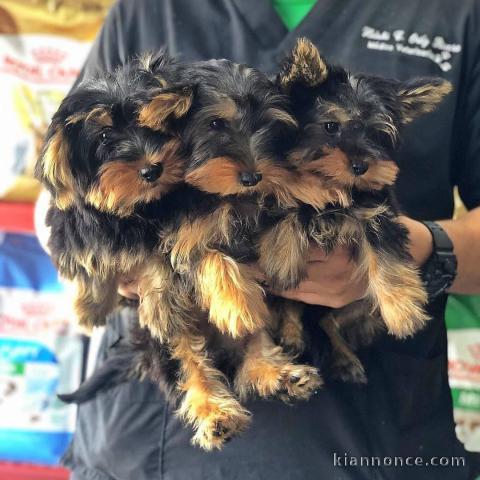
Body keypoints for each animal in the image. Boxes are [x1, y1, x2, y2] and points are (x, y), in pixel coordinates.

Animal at [258, 38, 450, 382]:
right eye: (330, 126)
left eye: (378, 135)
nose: (361, 165)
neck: (334, 187)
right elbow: (289, 207)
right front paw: (282, 260)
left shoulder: (378, 211)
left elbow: (386, 254)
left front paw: (402, 309)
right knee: (294, 307)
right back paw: (292, 335)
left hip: (355, 301)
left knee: (328, 321)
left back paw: (344, 354)